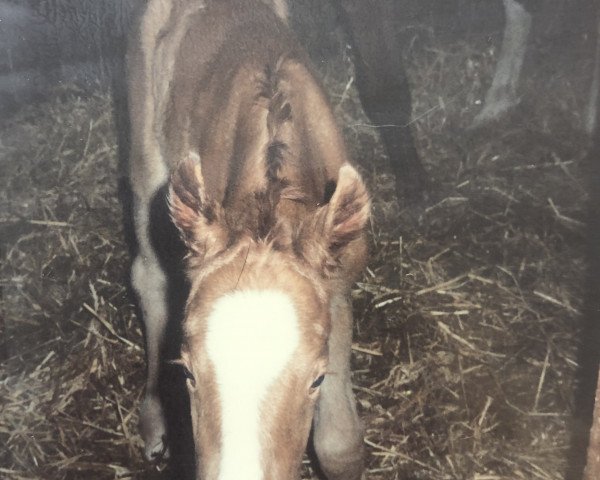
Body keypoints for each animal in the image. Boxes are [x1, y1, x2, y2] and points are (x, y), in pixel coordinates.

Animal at [127, 0, 368, 480]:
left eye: (316, 379)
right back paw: (154, 421)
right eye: (188, 373)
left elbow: (340, 446)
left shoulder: (339, 285)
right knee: (148, 274)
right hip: (144, 148)